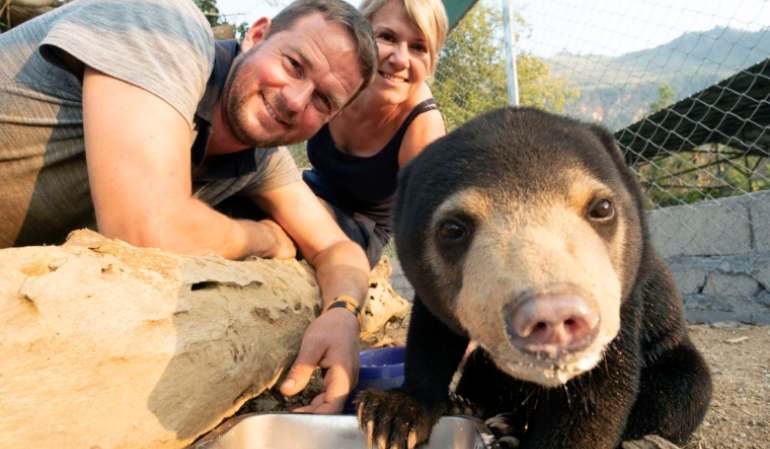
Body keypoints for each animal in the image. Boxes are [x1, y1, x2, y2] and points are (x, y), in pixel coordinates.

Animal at [356, 107, 712, 449]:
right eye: (452, 228)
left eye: (602, 208)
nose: (553, 315)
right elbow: (433, 333)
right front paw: (393, 416)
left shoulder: (622, 304)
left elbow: (598, 395)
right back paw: (475, 409)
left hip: (671, 357)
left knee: (682, 394)